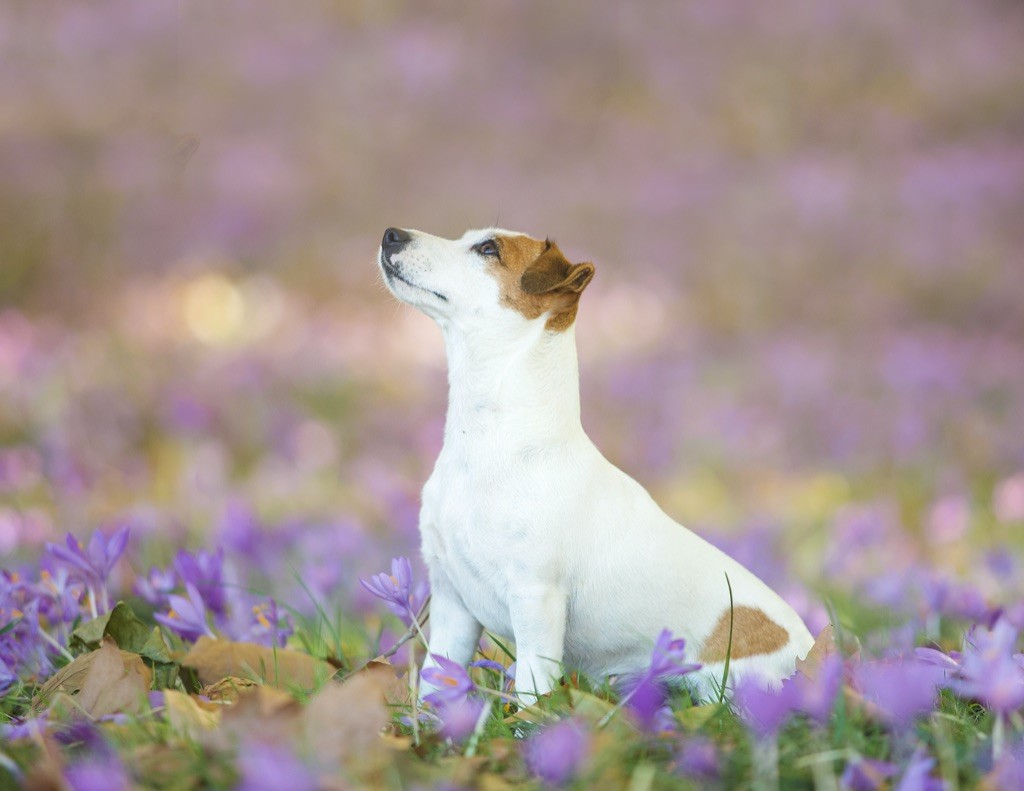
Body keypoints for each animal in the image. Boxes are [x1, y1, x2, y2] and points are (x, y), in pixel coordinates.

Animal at [376, 224, 815, 696]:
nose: (391, 234)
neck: (488, 444)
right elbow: (439, 682)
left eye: (489, 249)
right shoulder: (451, 601)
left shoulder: (535, 599)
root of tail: (813, 650)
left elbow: (532, 690)